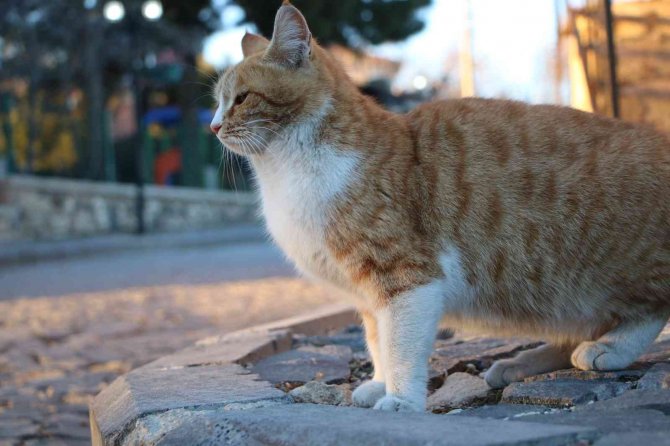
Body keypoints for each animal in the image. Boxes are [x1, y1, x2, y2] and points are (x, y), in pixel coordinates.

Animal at [211, 1, 670, 412]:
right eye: (218, 100)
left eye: (241, 98)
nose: (213, 126)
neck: (285, 171)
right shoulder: (369, 298)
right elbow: (378, 343)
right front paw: (378, 385)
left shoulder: (406, 278)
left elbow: (400, 345)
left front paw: (400, 399)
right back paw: (522, 363)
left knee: (650, 308)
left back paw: (608, 349)